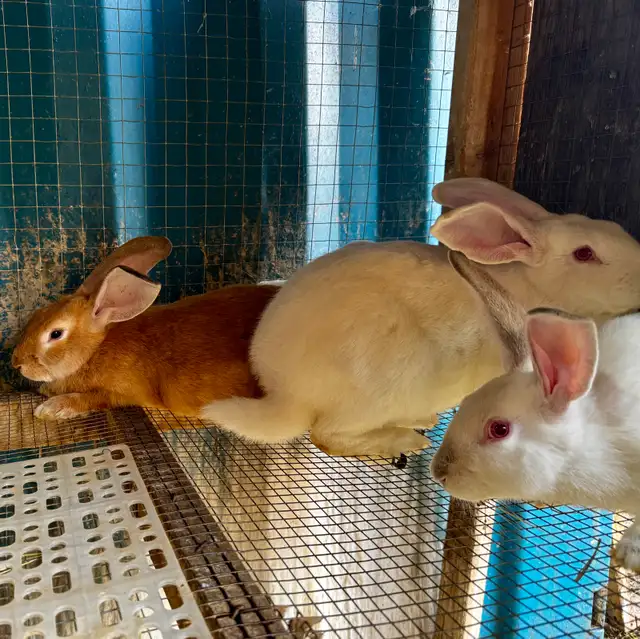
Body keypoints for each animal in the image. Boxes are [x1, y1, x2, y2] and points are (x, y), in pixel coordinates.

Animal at [11, 236, 280, 421]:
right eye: (37, 314)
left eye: (55, 334)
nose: (16, 363)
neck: (95, 350)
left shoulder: (122, 393)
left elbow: (92, 399)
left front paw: (51, 407)